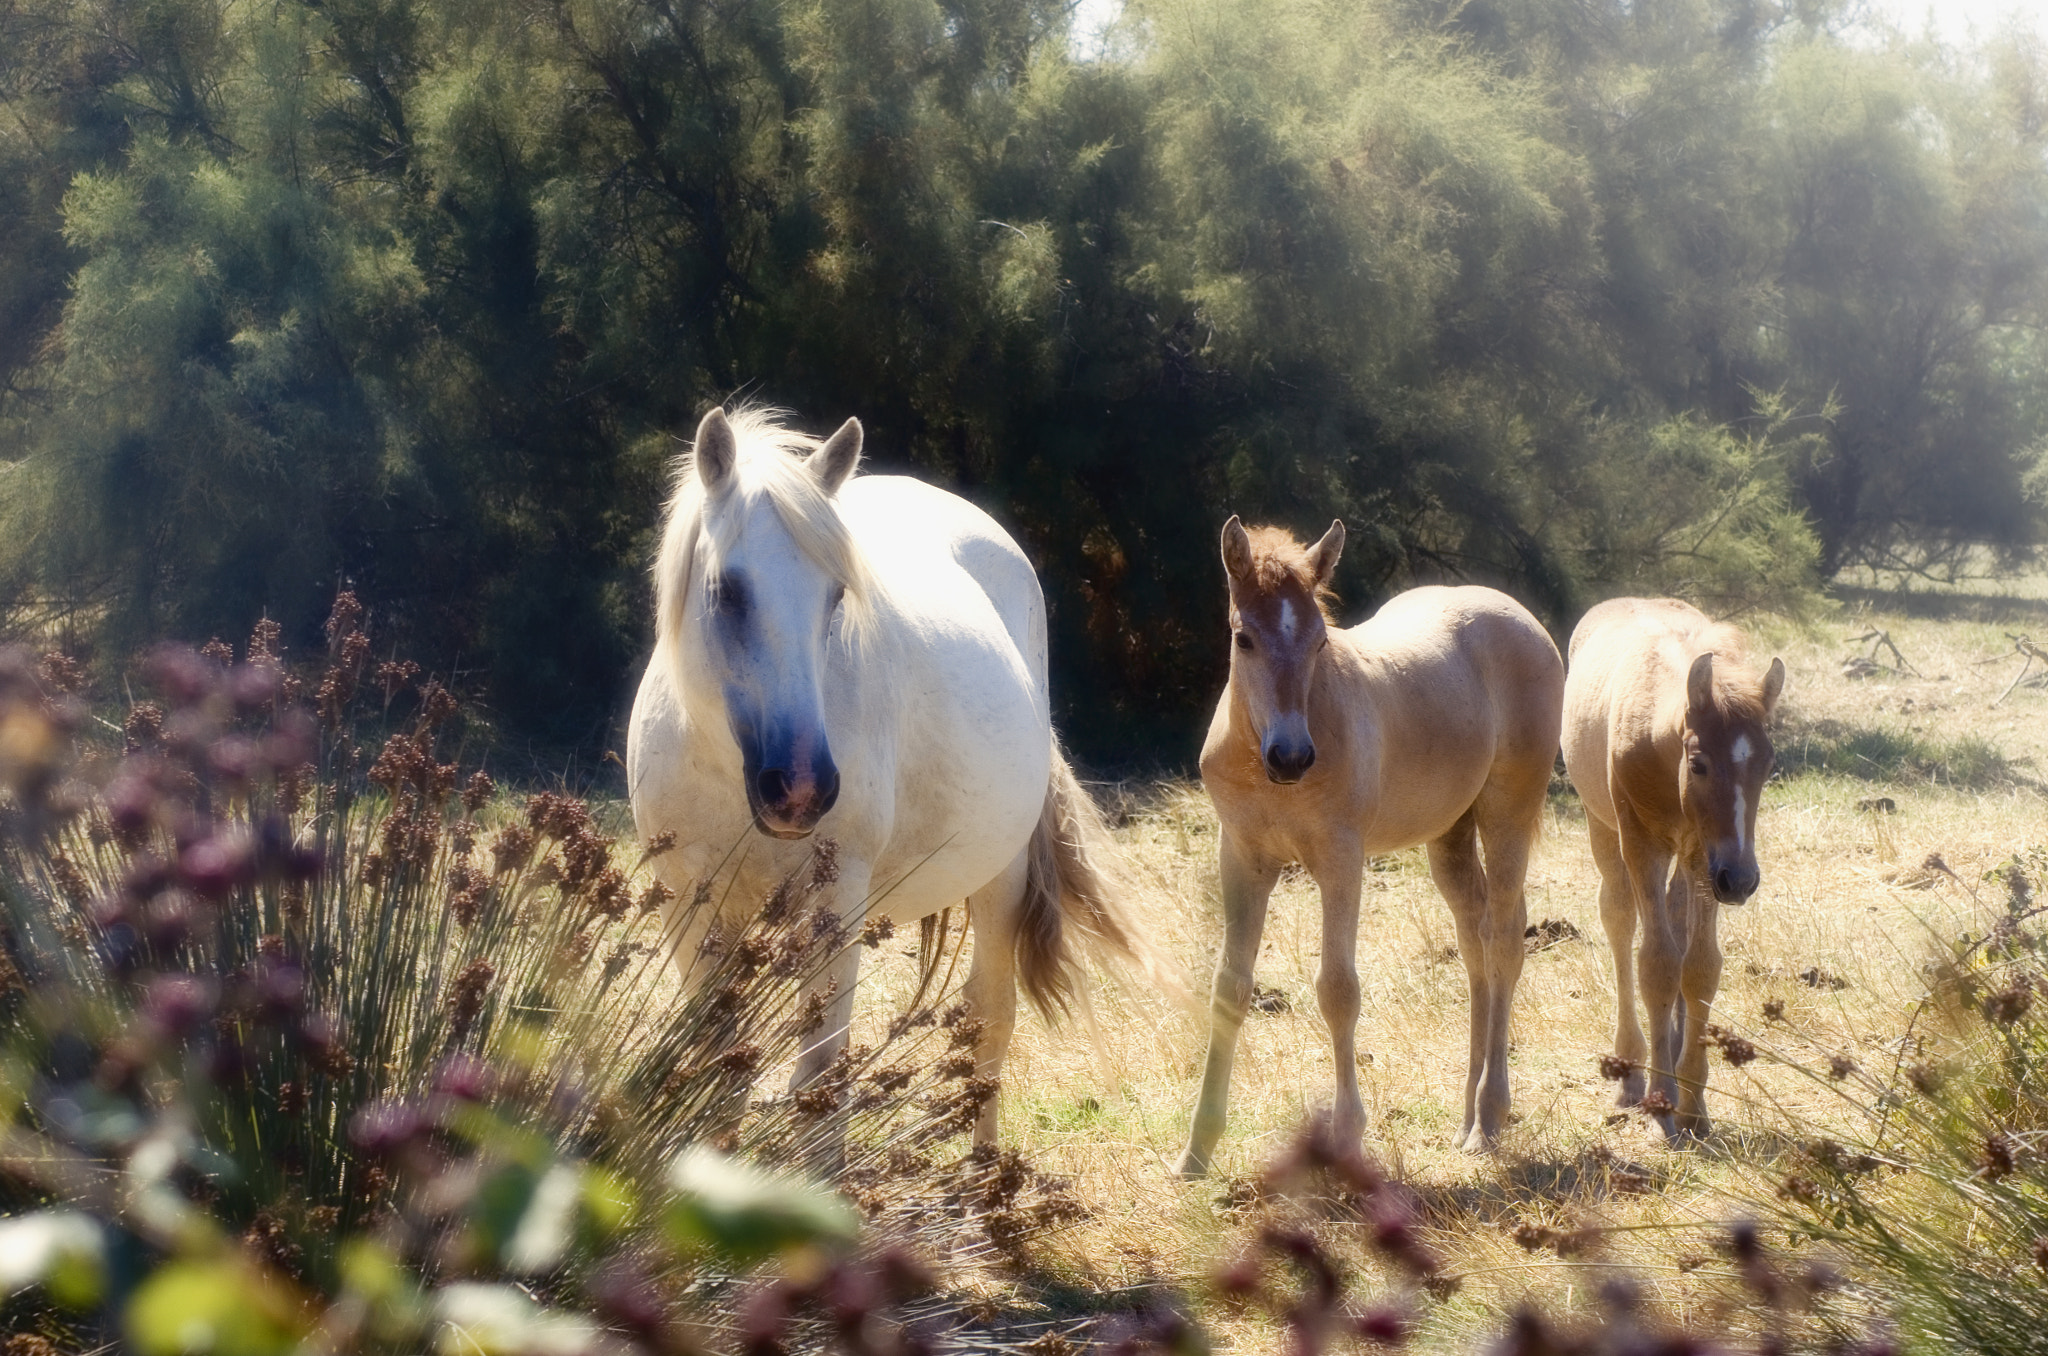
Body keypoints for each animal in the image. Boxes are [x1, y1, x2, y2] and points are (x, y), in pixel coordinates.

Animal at [626, 405, 1151, 1145]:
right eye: (727, 592)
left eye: (835, 595)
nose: (802, 787)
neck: (723, 766)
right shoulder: (688, 901)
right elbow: (717, 1074)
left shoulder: (836, 899)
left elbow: (819, 1082)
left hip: (1001, 876)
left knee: (988, 1021)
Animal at [1176, 516, 1564, 1174]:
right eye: (1243, 638)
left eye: (1319, 643)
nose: (1291, 757)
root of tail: (1523, 619)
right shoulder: (1243, 858)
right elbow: (1230, 988)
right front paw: (1196, 1150)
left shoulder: (1341, 860)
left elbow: (1337, 989)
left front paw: (1347, 1137)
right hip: (1450, 836)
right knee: (1474, 944)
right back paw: (1466, 1116)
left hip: (1507, 812)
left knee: (1504, 941)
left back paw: (1489, 1117)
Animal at [1561, 597, 1785, 1141]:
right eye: (1699, 763)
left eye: (1767, 764)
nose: (1742, 880)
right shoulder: (1643, 845)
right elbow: (1657, 964)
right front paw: (1662, 1106)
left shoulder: (1703, 857)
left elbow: (1699, 967)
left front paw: (1694, 1106)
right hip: (1605, 830)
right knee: (1620, 920)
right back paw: (1631, 1072)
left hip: (1691, 861)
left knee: (1678, 923)